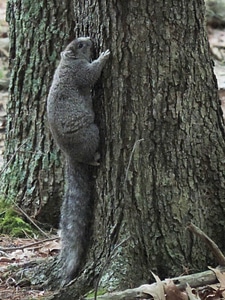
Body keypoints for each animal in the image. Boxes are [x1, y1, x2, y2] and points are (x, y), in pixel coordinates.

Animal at [46, 37, 110, 284]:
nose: (90, 40)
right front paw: (103, 56)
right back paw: (95, 159)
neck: (66, 62)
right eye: (81, 45)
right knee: (91, 156)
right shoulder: (80, 73)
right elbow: (91, 75)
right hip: (92, 133)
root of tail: (71, 156)